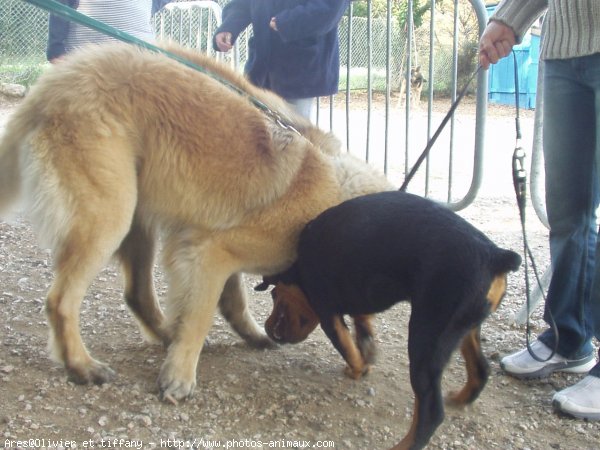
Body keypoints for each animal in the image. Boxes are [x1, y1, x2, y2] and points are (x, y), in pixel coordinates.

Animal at [0, 42, 394, 400]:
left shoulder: (213, 245)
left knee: (137, 294)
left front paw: (250, 336)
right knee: (60, 301)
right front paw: (180, 376)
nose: (283, 338)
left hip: (137, 217)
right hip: (110, 216)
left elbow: (233, 301)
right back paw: (81, 365)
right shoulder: (209, 252)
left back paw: (163, 335)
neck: (330, 204)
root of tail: (58, 79)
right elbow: (201, 314)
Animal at [255, 192, 524, 450]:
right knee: (480, 370)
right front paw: (366, 346)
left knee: (431, 413)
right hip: (465, 328)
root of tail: (495, 255)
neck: (300, 261)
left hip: (427, 341)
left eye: (274, 295)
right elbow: (361, 323)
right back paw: (460, 398)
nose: (267, 328)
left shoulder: (327, 313)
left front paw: (358, 369)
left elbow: (346, 347)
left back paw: (403, 444)